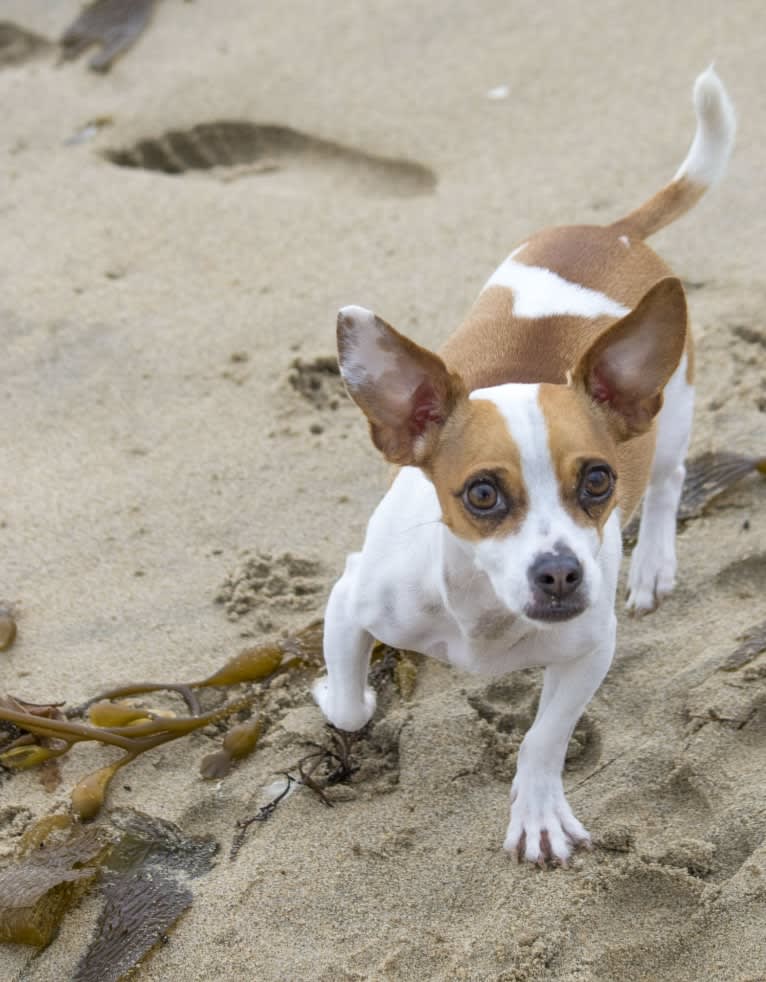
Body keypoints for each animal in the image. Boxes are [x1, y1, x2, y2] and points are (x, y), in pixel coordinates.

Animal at [314, 69, 736, 864]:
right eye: (481, 494)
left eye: (598, 481)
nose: (562, 573)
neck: (481, 611)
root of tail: (616, 231)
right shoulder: (351, 600)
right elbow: (351, 708)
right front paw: (337, 697)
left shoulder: (591, 650)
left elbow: (544, 737)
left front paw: (537, 811)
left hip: (672, 416)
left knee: (668, 483)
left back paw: (654, 563)